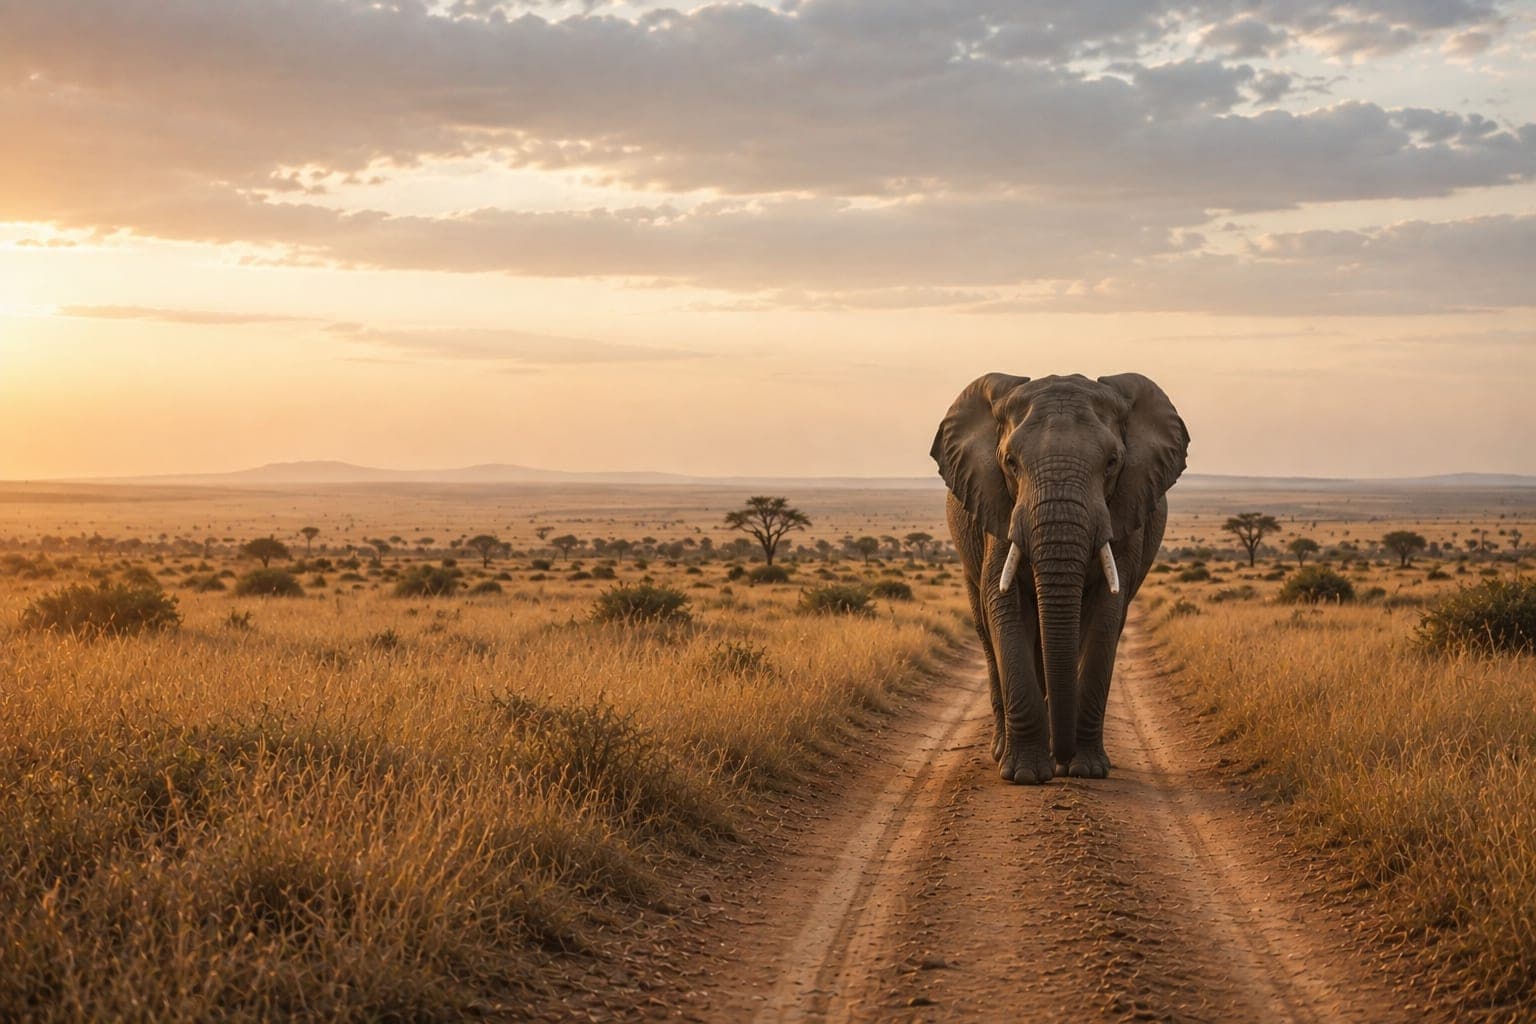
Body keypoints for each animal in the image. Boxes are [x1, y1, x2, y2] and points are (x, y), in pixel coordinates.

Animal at [931, 373, 1188, 784]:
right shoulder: (998, 508)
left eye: (1112, 462)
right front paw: (1025, 775)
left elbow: (1105, 616)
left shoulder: (1125, 510)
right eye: (1010, 462)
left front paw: (1086, 769)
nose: (1061, 757)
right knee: (986, 631)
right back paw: (1002, 750)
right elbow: (1003, 605)